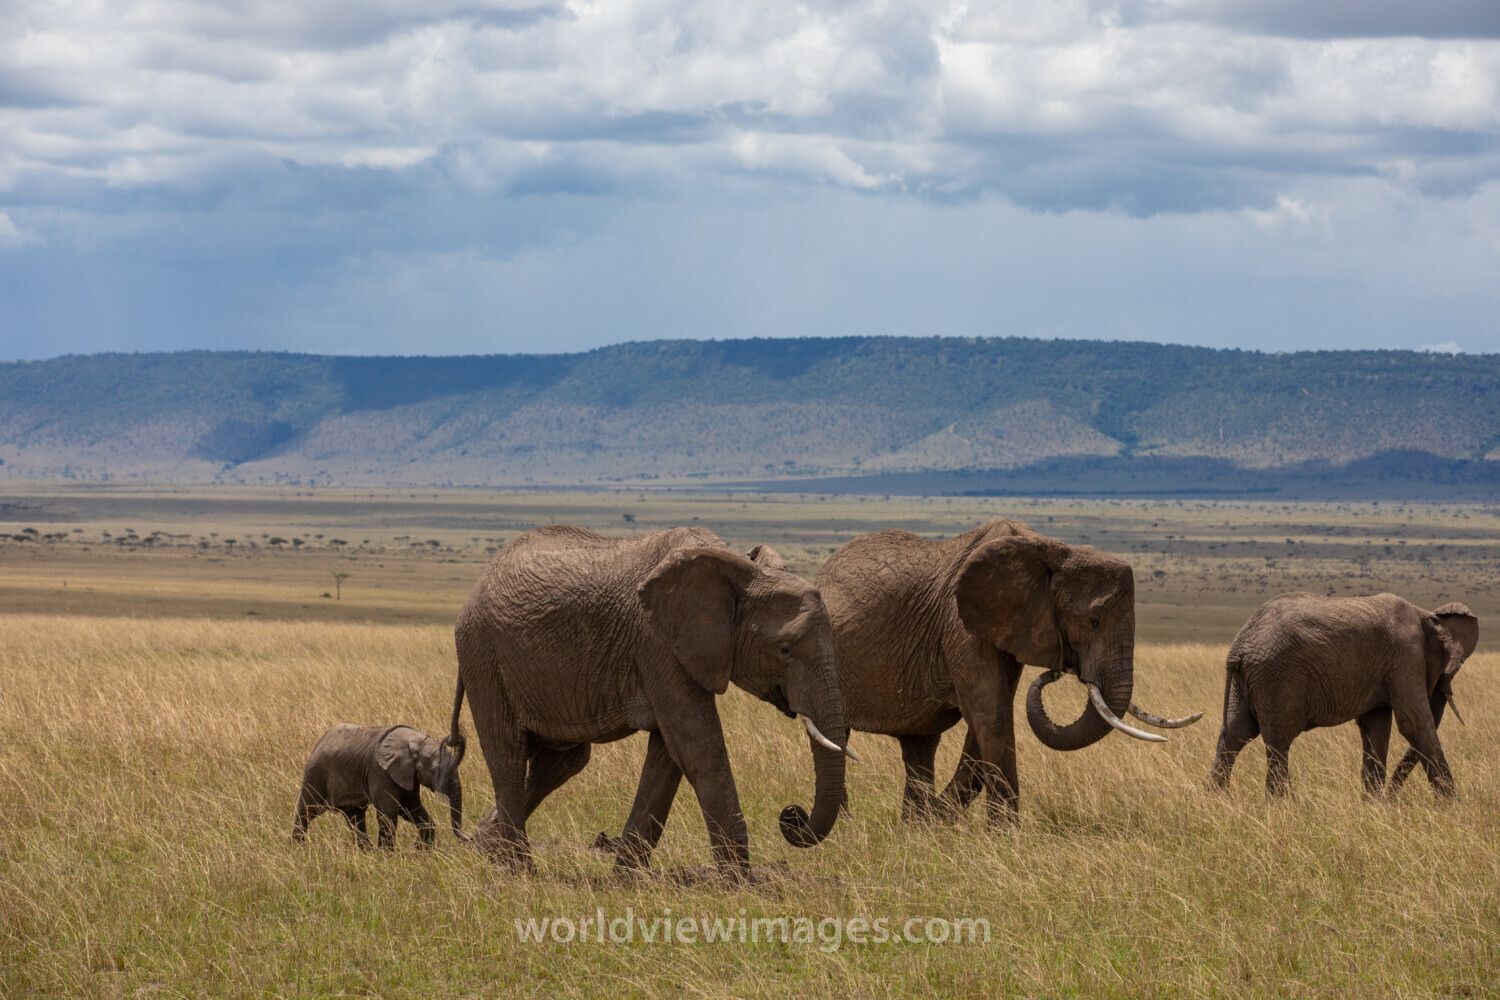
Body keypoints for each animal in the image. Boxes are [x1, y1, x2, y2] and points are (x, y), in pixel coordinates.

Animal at [292, 723, 467, 848]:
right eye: (438, 771)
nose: (469, 838)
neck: (414, 741)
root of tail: (320, 742)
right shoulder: (380, 771)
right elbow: (389, 813)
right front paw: (387, 860)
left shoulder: (408, 775)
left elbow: (411, 809)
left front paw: (420, 853)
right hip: (316, 773)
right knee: (306, 811)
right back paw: (298, 851)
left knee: (355, 818)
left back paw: (366, 854)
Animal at [447, 525, 852, 879]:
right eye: (785, 650)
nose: (793, 816)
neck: (738, 571)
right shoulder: (658, 643)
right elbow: (698, 747)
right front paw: (740, 885)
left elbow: (668, 756)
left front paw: (624, 880)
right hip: (484, 655)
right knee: (509, 756)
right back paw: (518, 872)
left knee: (561, 761)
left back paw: (486, 848)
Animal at [815, 517, 1198, 826]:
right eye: (1092, 621)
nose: (1057, 672)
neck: (1051, 550)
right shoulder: (961, 622)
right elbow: (992, 713)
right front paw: (1005, 835)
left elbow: (985, 720)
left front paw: (939, 823)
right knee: (837, 735)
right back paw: (845, 828)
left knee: (920, 743)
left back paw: (912, 826)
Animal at [1205, 593, 1478, 798]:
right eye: (1448, 669)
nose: (1393, 797)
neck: (1426, 615)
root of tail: (1239, 647)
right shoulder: (1405, 654)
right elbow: (1413, 722)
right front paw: (1451, 808)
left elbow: (1375, 727)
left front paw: (1373, 805)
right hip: (1276, 677)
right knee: (1278, 741)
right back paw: (1282, 804)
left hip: (1248, 681)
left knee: (1235, 734)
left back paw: (1216, 800)